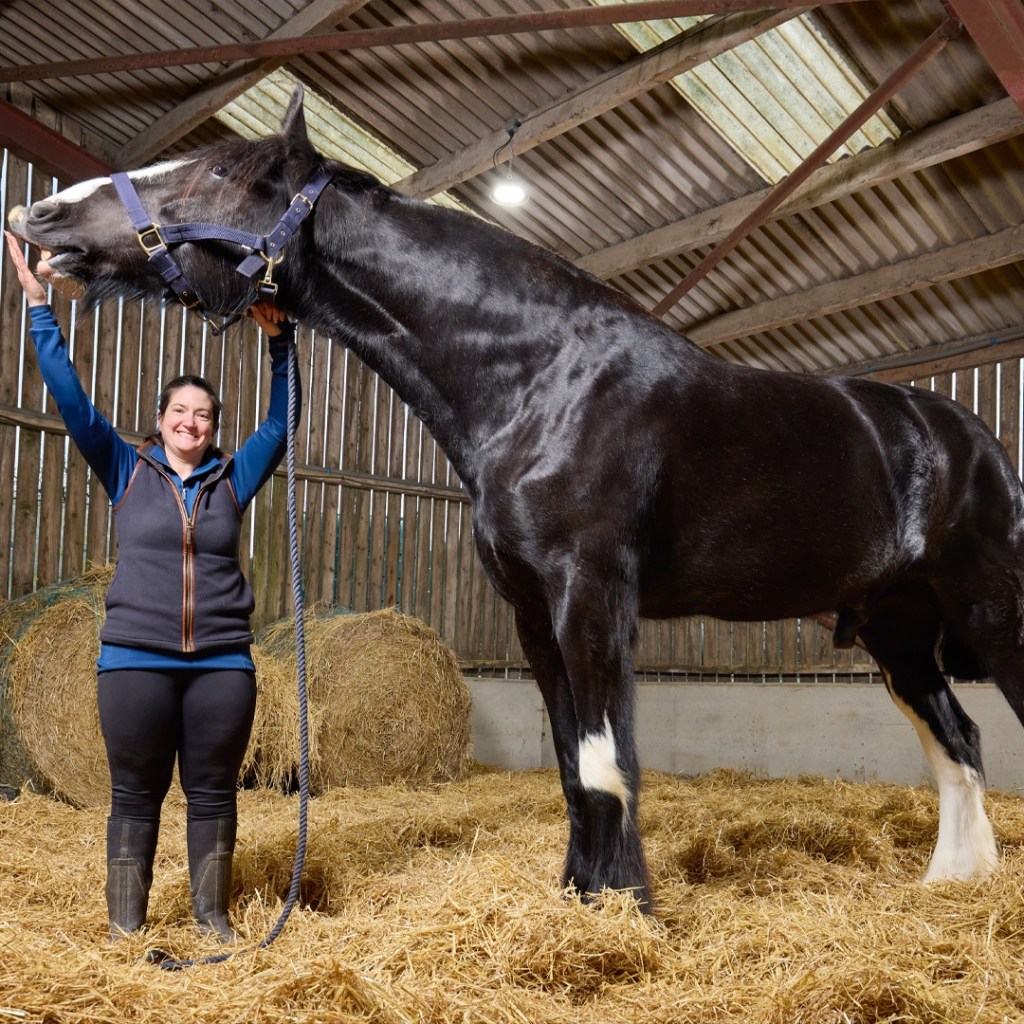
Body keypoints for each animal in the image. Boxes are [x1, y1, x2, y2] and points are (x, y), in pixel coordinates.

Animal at [11, 85, 1024, 910]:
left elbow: (611, 764)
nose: (41, 214)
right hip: (899, 630)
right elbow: (575, 767)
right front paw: (580, 899)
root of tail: (972, 439)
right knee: (960, 740)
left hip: (989, 612)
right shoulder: (535, 614)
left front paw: (631, 911)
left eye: (224, 172)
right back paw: (954, 881)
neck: (542, 379)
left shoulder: (594, 598)